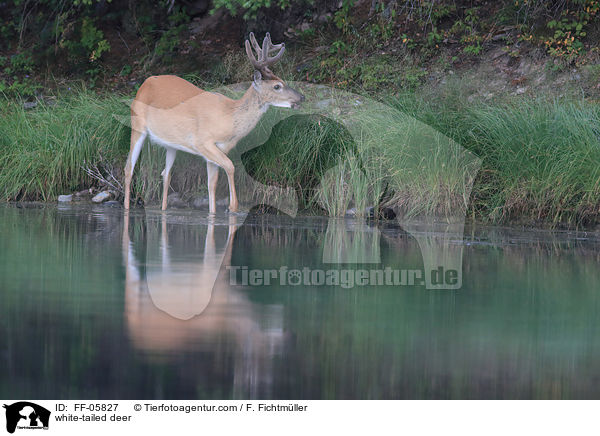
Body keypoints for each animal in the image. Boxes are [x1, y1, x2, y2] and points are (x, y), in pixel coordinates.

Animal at [122, 32, 304, 213]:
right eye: (277, 86)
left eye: (283, 81)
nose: (301, 97)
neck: (229, 117)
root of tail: (145, 83)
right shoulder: (202, 142)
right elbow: (230, 167)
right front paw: (232, 206)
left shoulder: (216, 150)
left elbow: (212, 185)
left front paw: (214, 212)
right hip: (137, 126)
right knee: (129, 168)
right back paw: (127, 208)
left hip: (171, 143)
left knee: (166, 173)